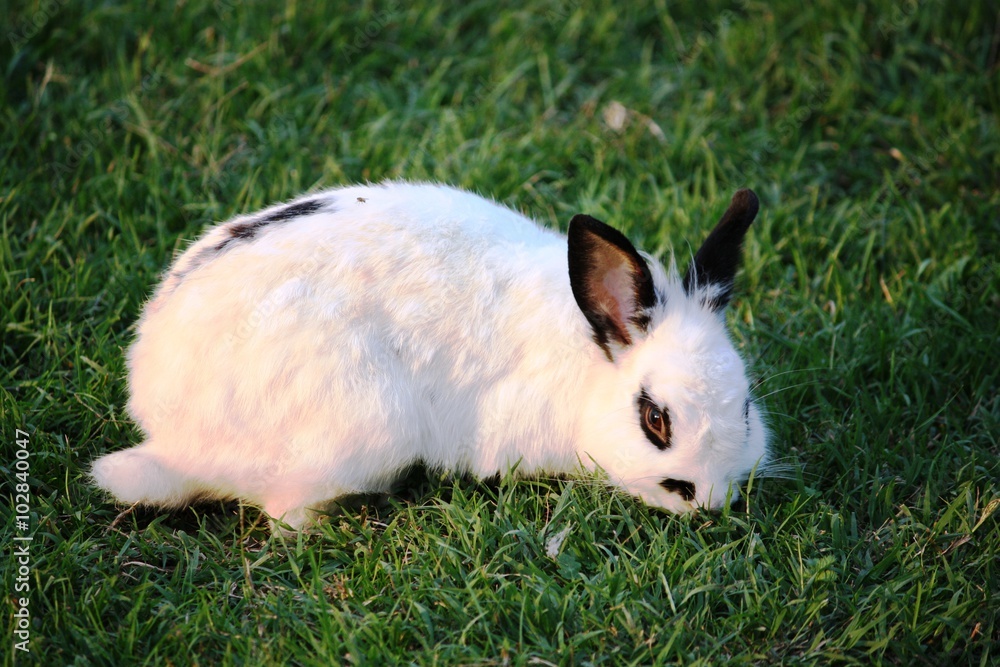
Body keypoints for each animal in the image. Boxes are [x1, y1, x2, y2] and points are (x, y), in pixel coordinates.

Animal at [91, 182, 769, 531]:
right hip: (362, 427)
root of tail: (167, 432)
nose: (710, 501)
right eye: (655, 420)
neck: (586, 359)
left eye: (745, 409)